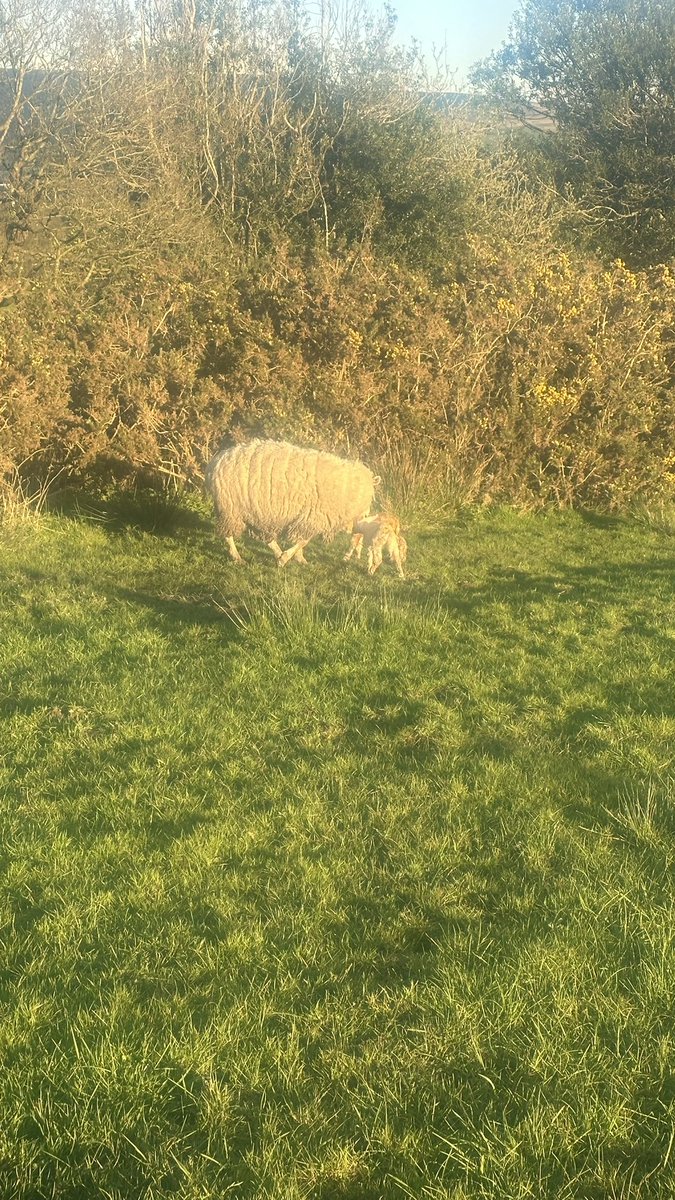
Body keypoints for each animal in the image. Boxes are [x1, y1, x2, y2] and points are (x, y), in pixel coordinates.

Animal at [205, 438, 378, 566]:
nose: (365, 518)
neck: (346, 489)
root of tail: (215, 462)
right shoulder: (312, 517)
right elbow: (303, 541)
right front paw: (287, 558)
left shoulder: (306, 518)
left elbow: (301, 540)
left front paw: (297, 558)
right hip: (231, 508)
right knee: (229, 535)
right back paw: (237, 557)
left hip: (257, 511)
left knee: (265, 537)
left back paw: (276, 552)